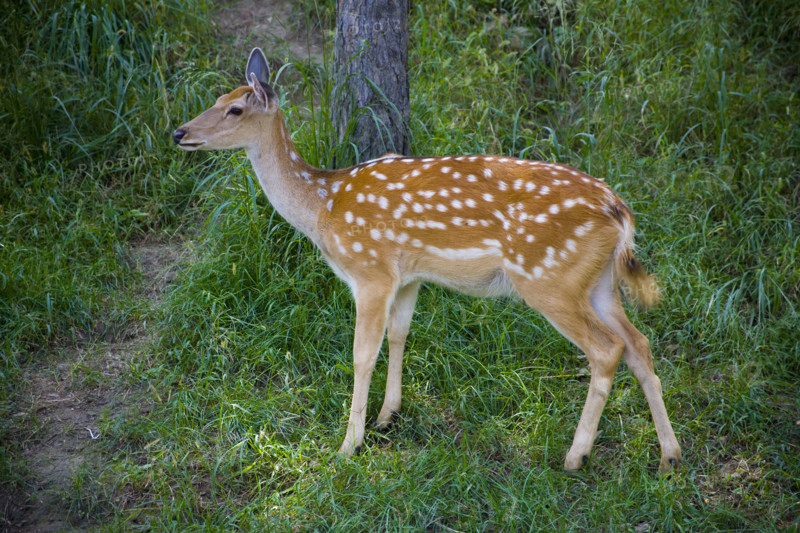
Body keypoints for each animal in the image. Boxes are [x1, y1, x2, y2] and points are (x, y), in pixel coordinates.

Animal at [173, 48, 682, 473]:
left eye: (235, 109)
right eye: (217, 97)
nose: (180, 132)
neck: (323, 207)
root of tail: (619, 211)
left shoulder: (371, 271)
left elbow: (362, 354)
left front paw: (348, 445)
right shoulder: (409, 277)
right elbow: (400, 335)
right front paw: (387, 416)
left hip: (547, 277)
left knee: (606, 349)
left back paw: (576, 456)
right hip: (597, 282)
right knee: (639, 344)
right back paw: (669, 455)